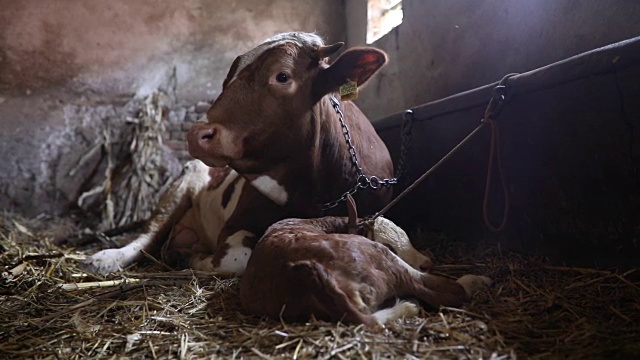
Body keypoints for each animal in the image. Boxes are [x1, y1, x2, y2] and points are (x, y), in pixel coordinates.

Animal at [80, 33, 396, 276]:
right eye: (227, 79)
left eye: (282, 76)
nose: (197, 135)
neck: (312, 192)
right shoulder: (236, 222)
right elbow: (235, 260)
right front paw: (197, 258)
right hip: (178, 190)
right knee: (147, 235)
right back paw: (108, 258)